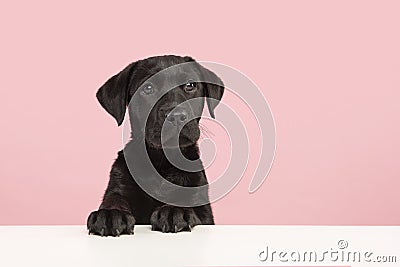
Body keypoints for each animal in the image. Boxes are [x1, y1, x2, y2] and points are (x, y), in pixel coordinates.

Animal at [87, 55, 223, 237]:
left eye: (190, 85)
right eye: (148, 88)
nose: (177, 116)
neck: (161, 161)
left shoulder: (204, 211)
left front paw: (174, 210)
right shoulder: (117, 185)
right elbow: (114, 198)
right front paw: (110, 214)